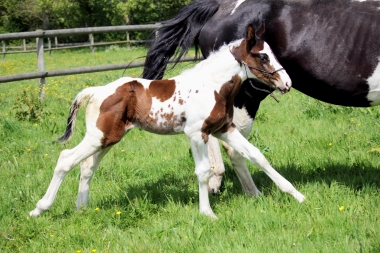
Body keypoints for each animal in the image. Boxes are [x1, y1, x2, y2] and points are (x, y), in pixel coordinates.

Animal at [29, 24, 304, 218]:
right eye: (263, 56)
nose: (287, 83)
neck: (212, 86)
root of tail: (96, 91)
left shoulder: (225, 129)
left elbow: (257, 155)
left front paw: (297, 195)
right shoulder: (196, 134)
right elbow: (203, 171)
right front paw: (207, 213)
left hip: (108, 138)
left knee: (86, 167)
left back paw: (82, 209)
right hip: (99, 137)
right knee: (66, 159)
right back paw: (40, 208)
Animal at [142, 0, 380, 195]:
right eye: (263, 56)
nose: (287, 83)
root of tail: (219, 6)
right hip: (245, 98)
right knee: (235, 147)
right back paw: (251, 192)